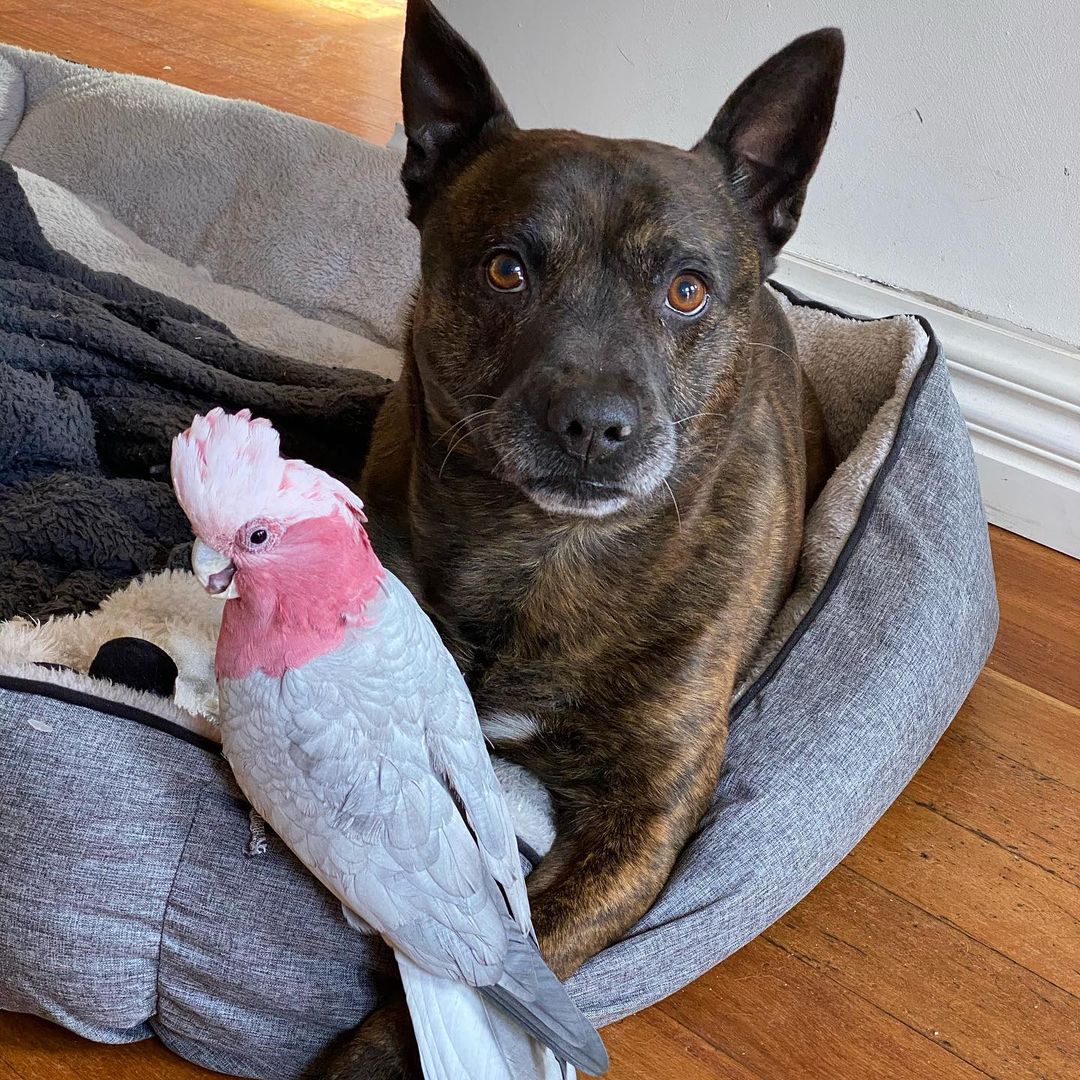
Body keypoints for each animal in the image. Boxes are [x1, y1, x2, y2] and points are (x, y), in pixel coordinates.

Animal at [319, 4, 842, 1075]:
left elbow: (516, 957)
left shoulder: (644, 822)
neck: (544, 553)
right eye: (506, 269)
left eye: (686, 290)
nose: (596, 425)